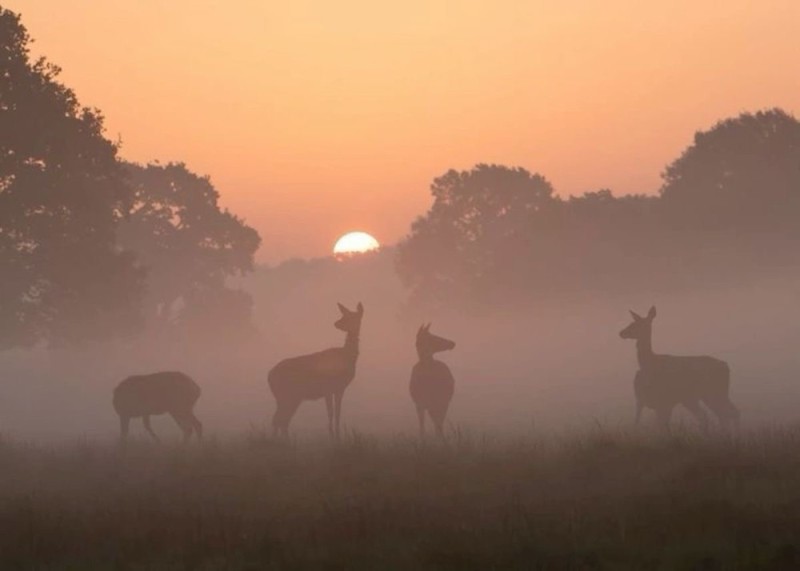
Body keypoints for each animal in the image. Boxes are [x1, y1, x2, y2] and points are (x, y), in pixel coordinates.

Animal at [268, 302, 364, 440]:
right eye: (344, 315)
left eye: (352, 316)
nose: (336, 323)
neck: (346, 357)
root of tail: (269, 376)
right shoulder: (328, 388)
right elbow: (330, 412)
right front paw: (332, 435)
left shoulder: (339, 389)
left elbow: (337, 413)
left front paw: (337, 435)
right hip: (286, 395)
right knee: (279, 419)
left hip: (288, 397)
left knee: (281, 419)